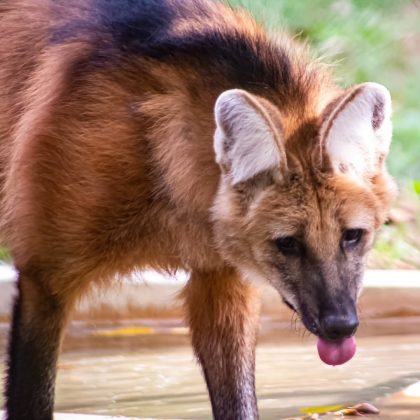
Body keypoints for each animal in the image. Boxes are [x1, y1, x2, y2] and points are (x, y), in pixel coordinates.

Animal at [0, 0, 396, 420]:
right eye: (288, 243)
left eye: (352, 236)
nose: (341, 326)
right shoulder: (45, 280)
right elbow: (32, 400)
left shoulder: (220, 279)